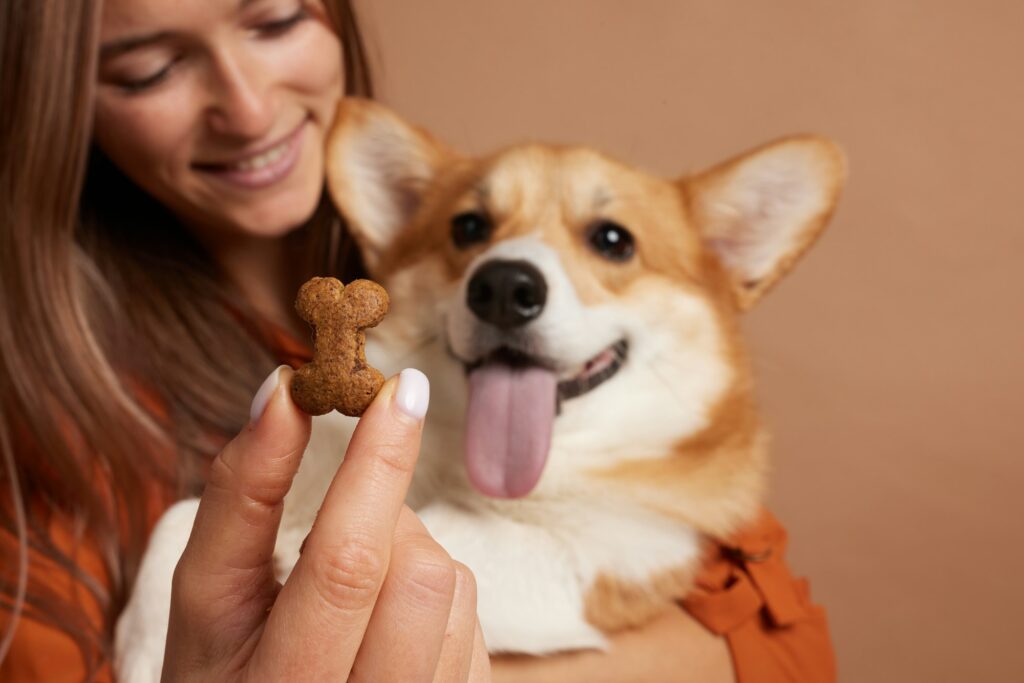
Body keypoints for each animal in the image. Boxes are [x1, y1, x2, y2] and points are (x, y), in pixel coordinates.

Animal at [116, 97, 843, 679]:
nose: (503, 285)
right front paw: (144, 647)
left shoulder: (617, 557)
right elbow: (177, 518)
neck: (461, 460)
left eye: (613, 240)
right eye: (468, 227)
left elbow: (458, 535)